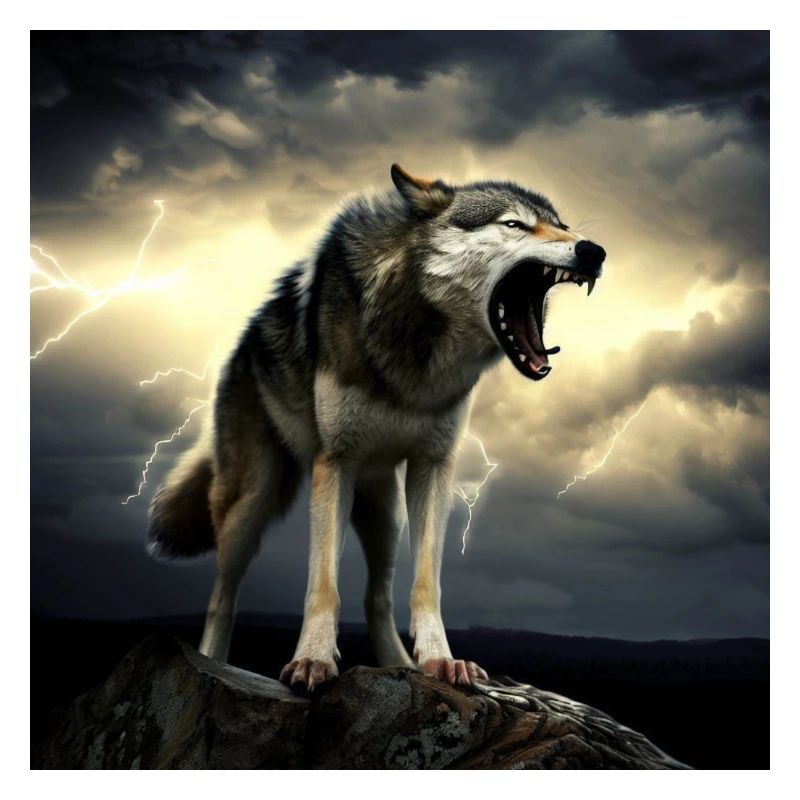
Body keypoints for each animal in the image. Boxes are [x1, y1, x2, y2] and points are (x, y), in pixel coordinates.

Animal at [148, 164, 606, 691]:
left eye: (563, 225)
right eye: (515, 225)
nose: (594, 251)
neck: (416, 354)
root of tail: (243, 343)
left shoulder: (433, 467)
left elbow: (425, 584)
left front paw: (440, 661)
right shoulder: (334, 463)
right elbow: (322, 584)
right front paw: (312, 660)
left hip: (385, 514)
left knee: (377, 597)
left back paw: (398, 664)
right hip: (251, 503)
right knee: (222, 596)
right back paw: (213, 662)